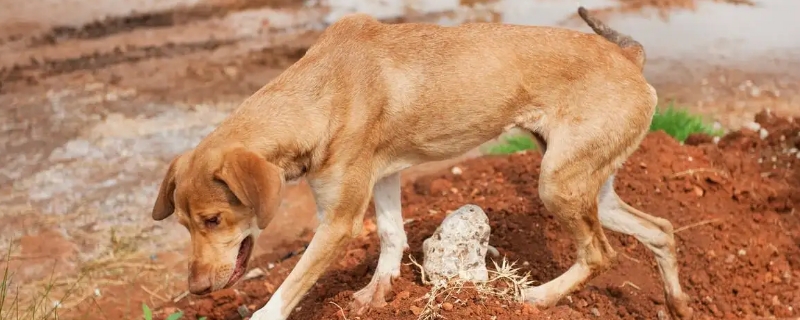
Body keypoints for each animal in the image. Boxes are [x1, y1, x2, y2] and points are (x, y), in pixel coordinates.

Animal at [150, 6, 692, 320]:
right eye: (182, 225)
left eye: (213, 219)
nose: (196, 290)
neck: (317, 94)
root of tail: (630, 59)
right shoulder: (385, 176)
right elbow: (392, 235)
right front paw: (378, 293)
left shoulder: (338, 222)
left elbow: (286, 291)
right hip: (589, 183)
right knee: (661, 229)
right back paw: (678, 303)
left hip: (557, 183)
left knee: (601, 254)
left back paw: (538, 298)